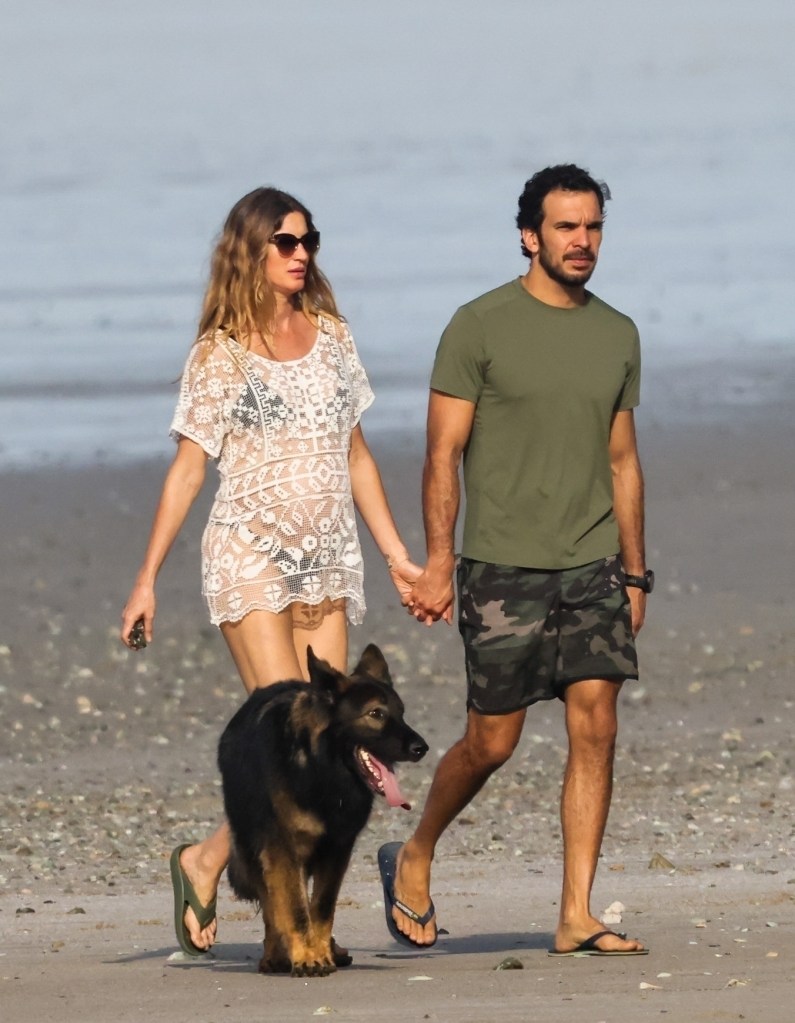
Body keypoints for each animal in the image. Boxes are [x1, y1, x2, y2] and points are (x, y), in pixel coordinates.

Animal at [216, 646, 427, 973]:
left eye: (401, 713)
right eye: (376, 714)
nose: (422, 748)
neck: (321, 771)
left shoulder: (337, 850)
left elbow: (322, 908)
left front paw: (319, 950)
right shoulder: (282, 850)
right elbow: (293, 909)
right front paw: (306, 956)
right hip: (256, 849)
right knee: (271, 904)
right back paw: (275, 954)